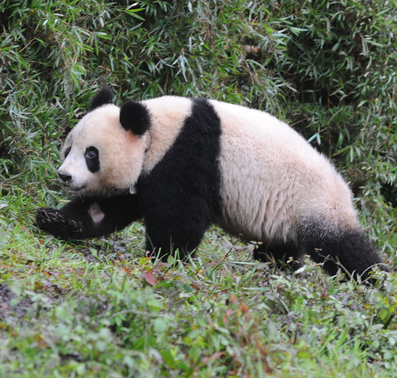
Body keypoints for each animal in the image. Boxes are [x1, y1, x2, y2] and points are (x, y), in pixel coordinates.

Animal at [35, 87, 388, 280]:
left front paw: (165, 257)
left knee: (341, 248)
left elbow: (179, 217)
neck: (155, 133)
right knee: (281, 250)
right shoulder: (146, 173)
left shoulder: (189, 157)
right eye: (69, 148)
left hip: (315, 203)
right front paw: (55, 220)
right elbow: (106, 209)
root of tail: (344, 188)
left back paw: (374, 284)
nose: (64, 176)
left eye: (91, 154)